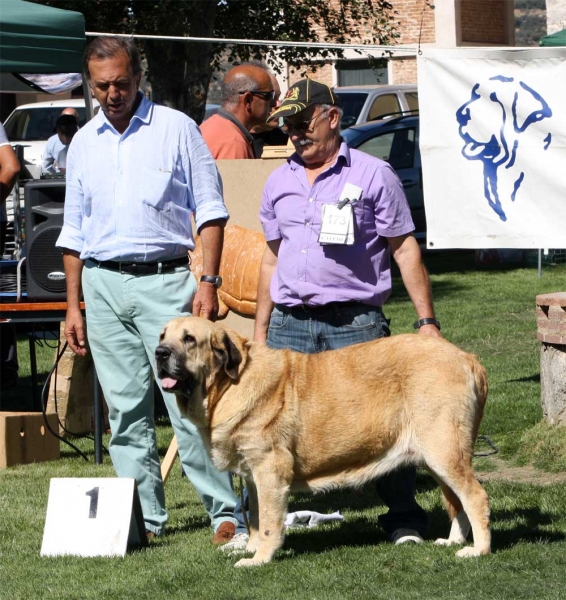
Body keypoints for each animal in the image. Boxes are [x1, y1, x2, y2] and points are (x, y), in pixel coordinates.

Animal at [156, 316, 492, 564]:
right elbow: (255, 517)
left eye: (189, 339)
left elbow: (269, 523)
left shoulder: (269, 471)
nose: (160, 354)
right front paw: (250, 548)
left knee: (475, 497)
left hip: (445, 452)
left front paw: (259, 559)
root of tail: (468, 358)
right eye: (162, 336)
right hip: (438, 458)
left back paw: (478, 550)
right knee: (457, 501)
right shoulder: (252, 475)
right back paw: (453, 540)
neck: (227, 385)